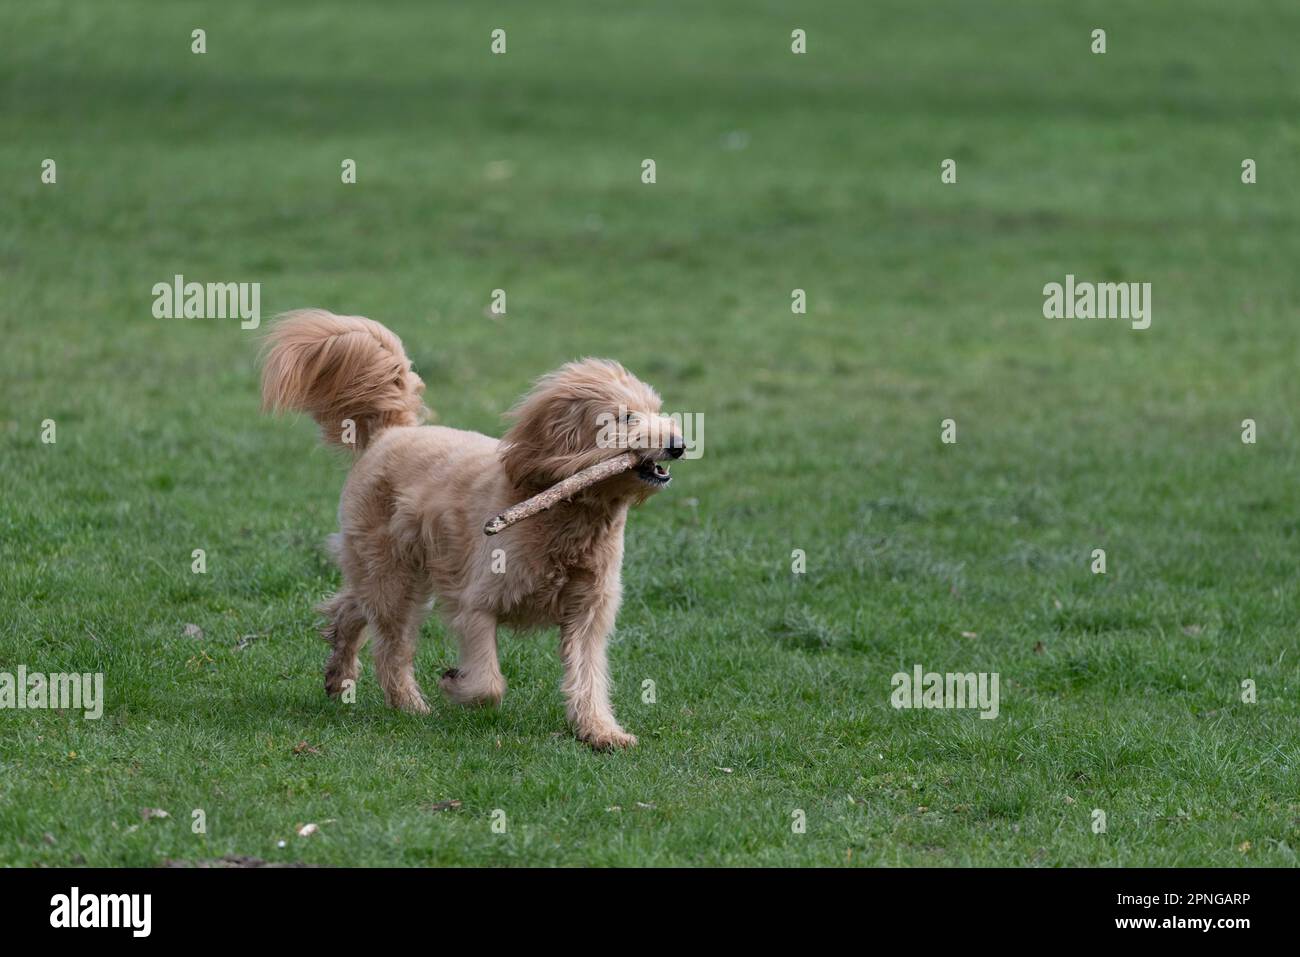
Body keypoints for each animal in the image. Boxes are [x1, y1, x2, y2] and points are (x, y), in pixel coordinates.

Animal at [260, 310, 686, 748]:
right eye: (625, 417)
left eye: (657, 409)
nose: (679, 444)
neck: (567, 514)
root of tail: (393, 430)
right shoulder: (477, 602)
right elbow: (488, 683)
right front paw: (454, 684)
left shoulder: (588, 612)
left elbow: (588, 675)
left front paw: (600, 731)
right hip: (393, 572)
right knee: (391, 645)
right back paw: (409, 704)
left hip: (387, 571)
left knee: (351, 606)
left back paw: (339, 673)